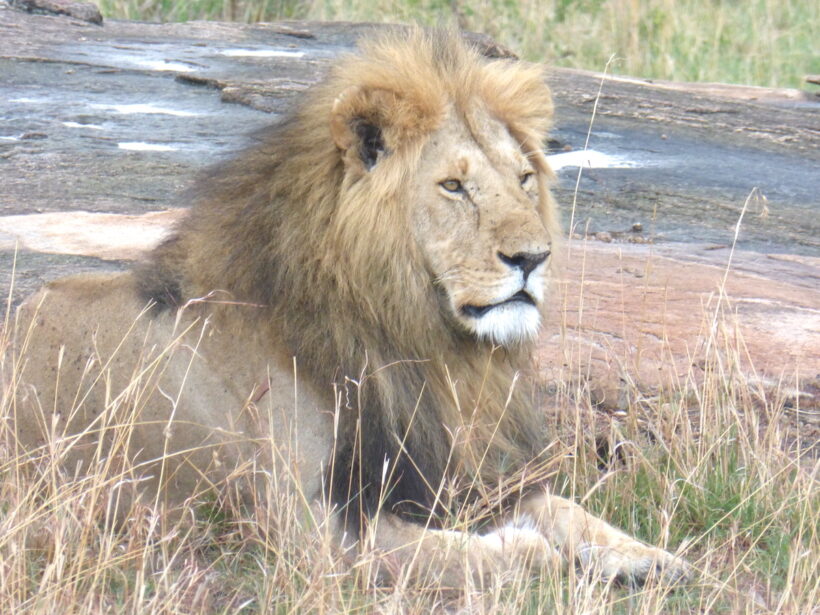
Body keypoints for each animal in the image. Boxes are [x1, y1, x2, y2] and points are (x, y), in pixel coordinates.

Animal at [11, 27, 692, 588]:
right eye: (454, 186)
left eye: (524, 178)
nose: (534, 257)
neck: (410, 336)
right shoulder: (304, 528)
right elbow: (490, 553)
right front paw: (531, 552)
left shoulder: (438, 471)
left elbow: (562, 508)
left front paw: (652, 557)